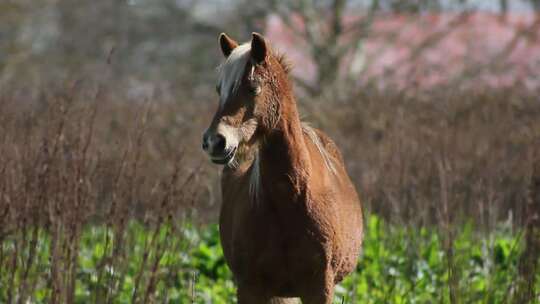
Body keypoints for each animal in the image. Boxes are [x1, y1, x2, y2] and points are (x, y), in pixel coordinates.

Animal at [202, 32, 362, 302]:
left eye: (253, 87)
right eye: (218, 89)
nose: (214, 141)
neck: (291, 197)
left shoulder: (320, 286)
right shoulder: (250, 286)